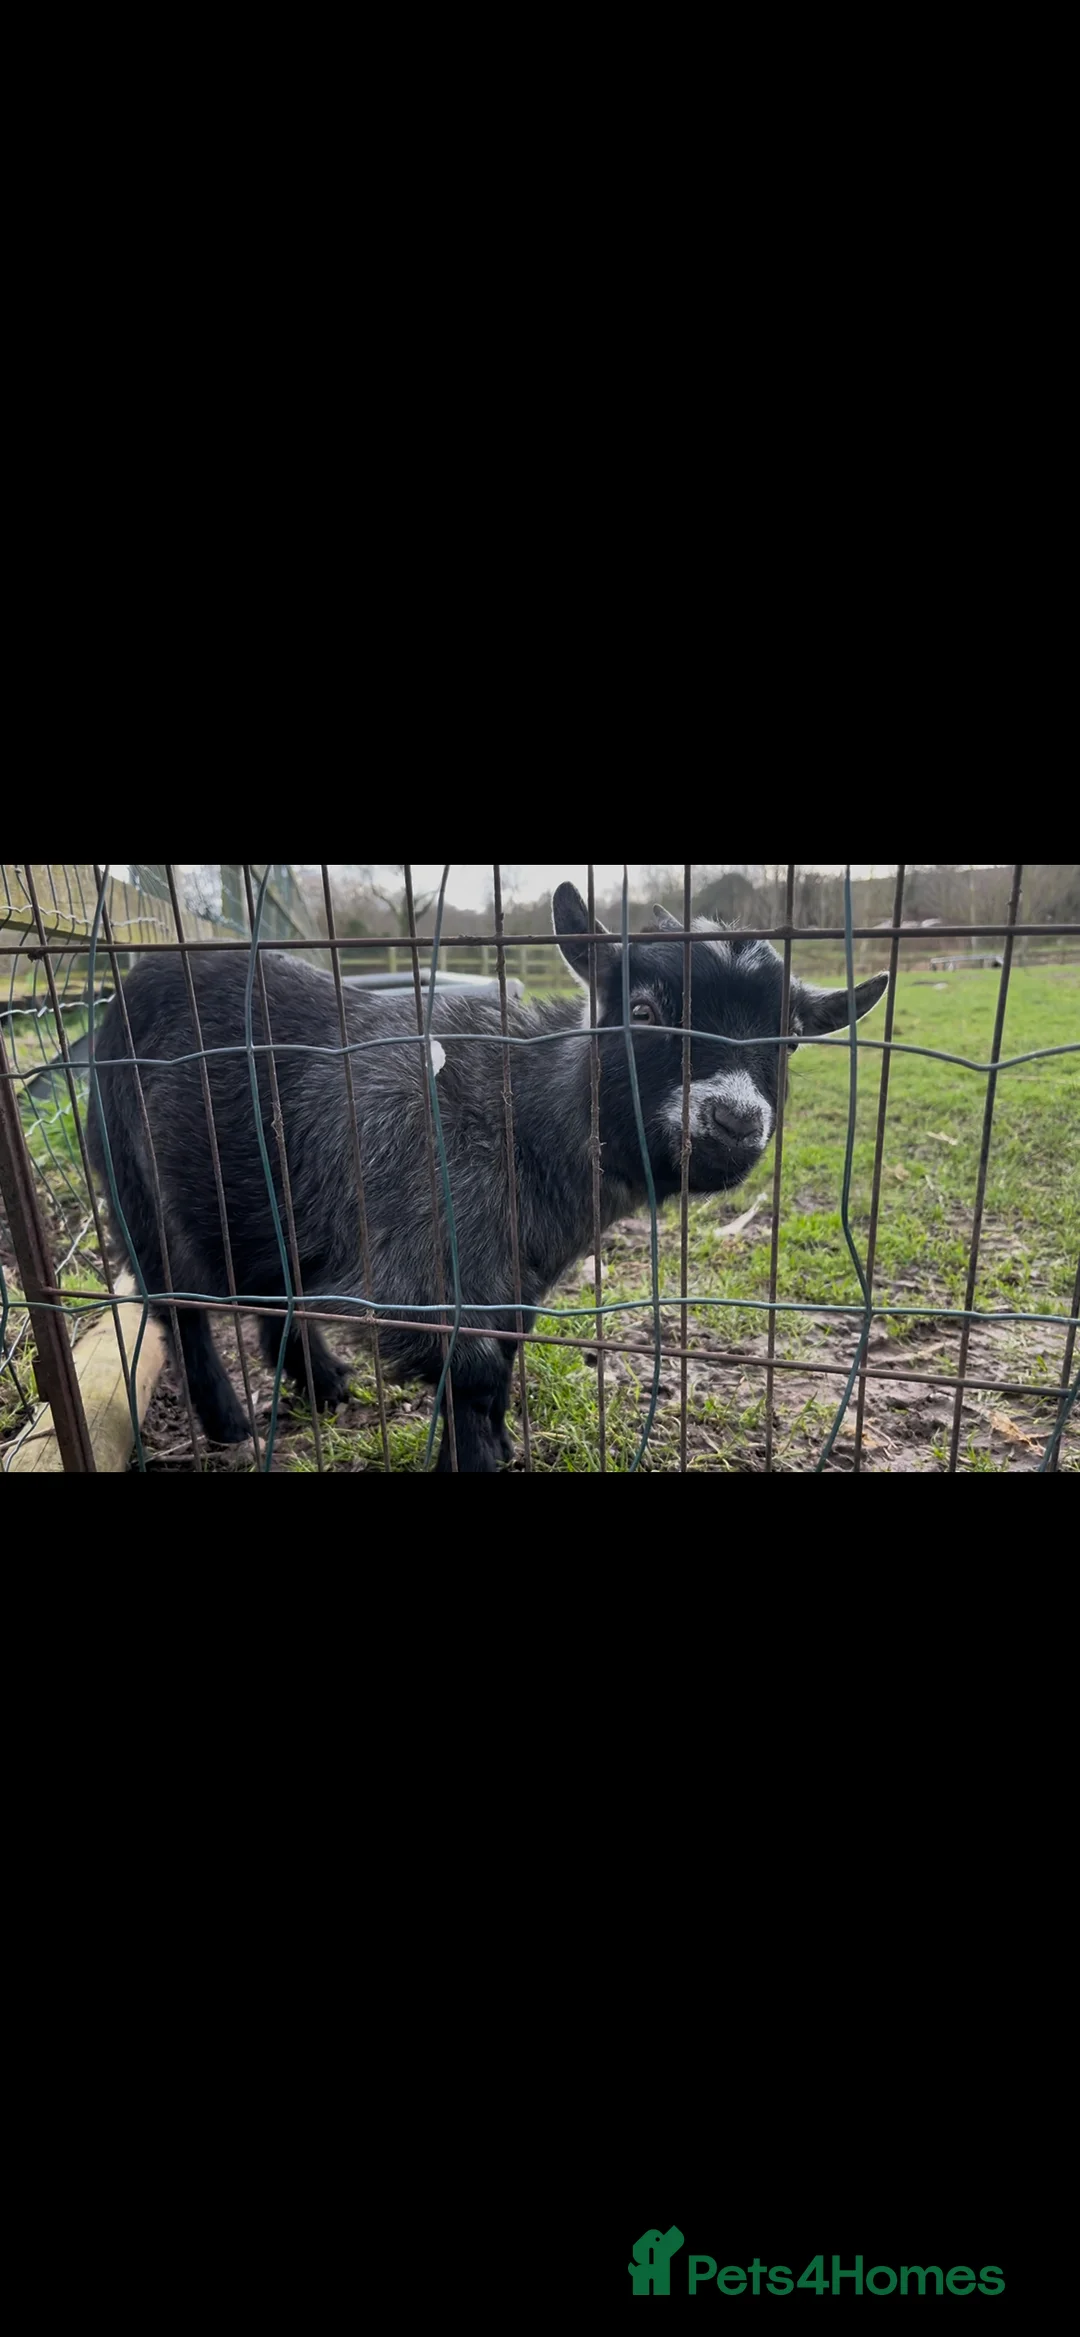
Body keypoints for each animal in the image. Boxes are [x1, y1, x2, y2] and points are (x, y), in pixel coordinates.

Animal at [86, 884, 889, 1470]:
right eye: (642, 1009)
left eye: (790, 1038)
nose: (734, 1120)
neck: (521, 1114)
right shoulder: (412, 1269)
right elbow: (469, 1372)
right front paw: (472, 1460)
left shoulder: (514, 1277)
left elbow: (502, 1359)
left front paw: (498, 1444)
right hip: (133, 1185)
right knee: (177, 1305)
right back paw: (229, 1422)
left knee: (266, 1286)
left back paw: (324, 1385)